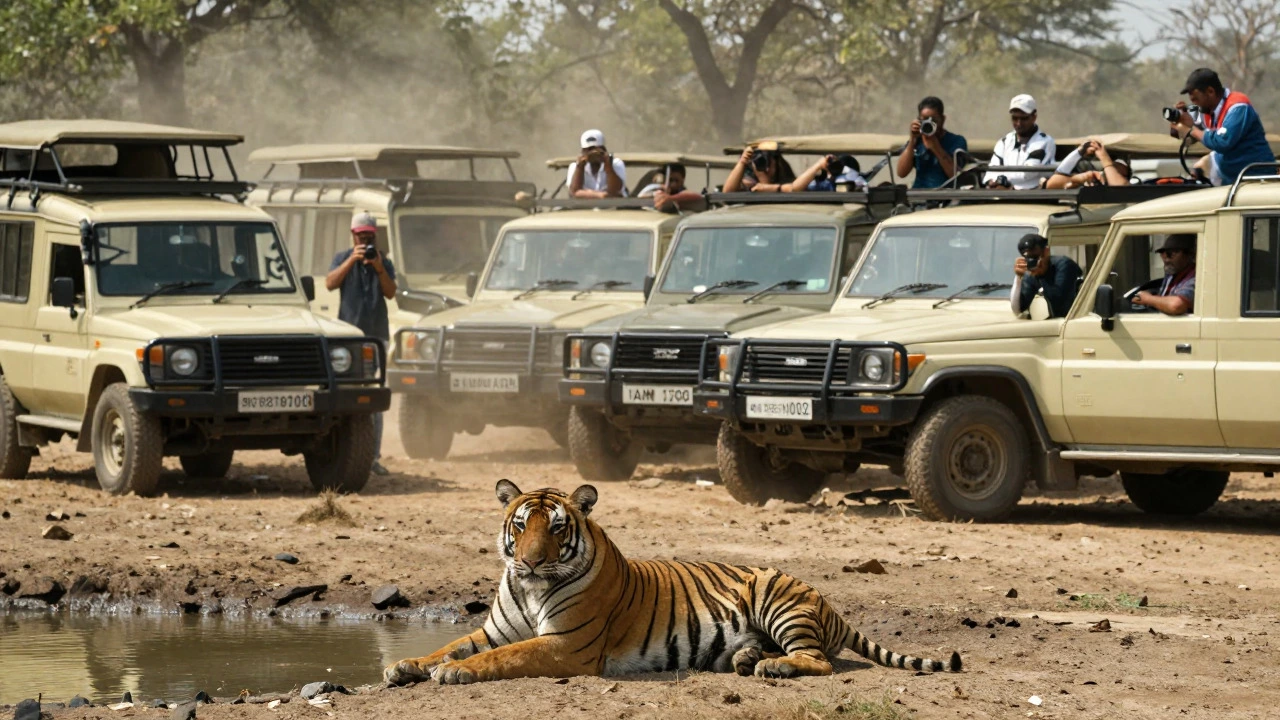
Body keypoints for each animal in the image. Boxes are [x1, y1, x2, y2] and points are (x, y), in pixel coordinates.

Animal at [383, 480, 961, 686]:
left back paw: (771, 667)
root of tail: (827, 600)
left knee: (816, 659)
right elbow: (451, 645)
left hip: (777, 597)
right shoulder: (493, 630)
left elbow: (498, 658)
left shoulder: (565, 646)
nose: (528, 562)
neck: (529, 589)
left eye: (557, 529)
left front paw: (453, 675)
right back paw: (747, 659)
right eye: (522, 526)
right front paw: (405, 665)